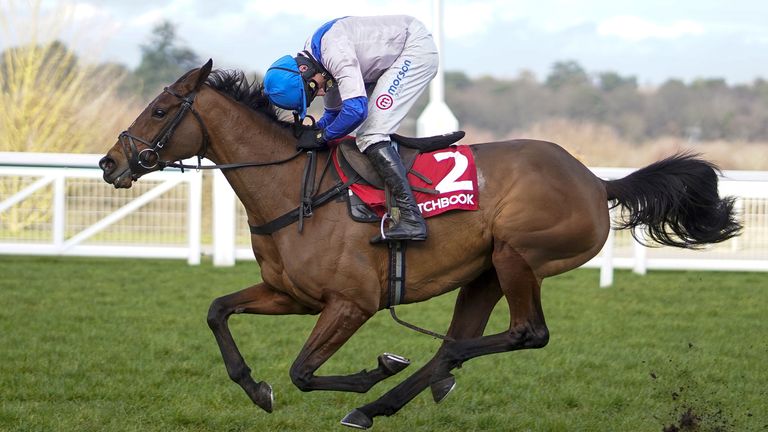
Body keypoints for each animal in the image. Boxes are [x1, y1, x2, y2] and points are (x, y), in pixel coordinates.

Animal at [99, 60, 740, 428]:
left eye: (160, 109)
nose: (109, 163)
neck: (293, 190)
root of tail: (595, 180)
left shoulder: (350, 303)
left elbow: (304, 370)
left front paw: (369, 371)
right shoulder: (291, 296)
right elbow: (217, 311)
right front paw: (256, 388)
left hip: (518, 256)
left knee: (524, 334)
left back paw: (382, 394)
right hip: (485, 273)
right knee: (460, 341)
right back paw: (392, 398)